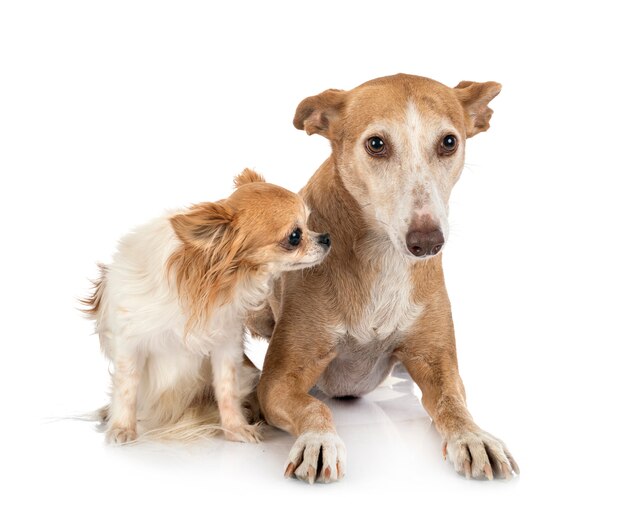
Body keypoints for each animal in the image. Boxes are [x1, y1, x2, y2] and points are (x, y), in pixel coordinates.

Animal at [251, 73, 520, 484]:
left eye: (449, 142)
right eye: (376, 144)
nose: (427, 242)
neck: (383, 257)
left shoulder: (439, 363)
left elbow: (452, 402)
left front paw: (475, 437)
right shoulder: (278, 380)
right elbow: (314, 407)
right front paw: (319, 440)